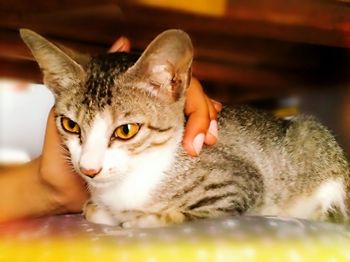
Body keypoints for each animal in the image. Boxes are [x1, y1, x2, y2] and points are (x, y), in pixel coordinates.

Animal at [19, 28, 350, 228]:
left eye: (126, 130)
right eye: (70, 124)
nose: (88, 170)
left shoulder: (238, 184)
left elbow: (189, 215)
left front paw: (142, 218)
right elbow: (93, 210)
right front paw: (104, 211)